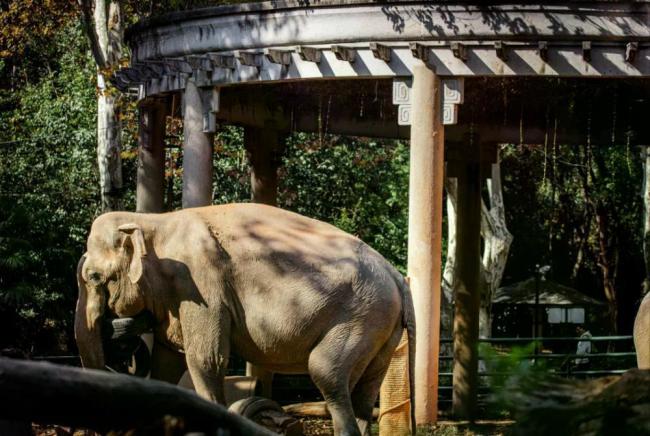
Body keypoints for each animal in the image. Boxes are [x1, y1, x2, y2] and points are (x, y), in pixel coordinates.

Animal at [75, 203, 416, 436]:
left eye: (93, 277)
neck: (153, 221)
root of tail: (396, 277)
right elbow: (167, 361)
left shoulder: (201, 285)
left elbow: (206, 360)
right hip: (381, 328)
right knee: (366, 390)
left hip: (360, 317)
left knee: (326, 372)